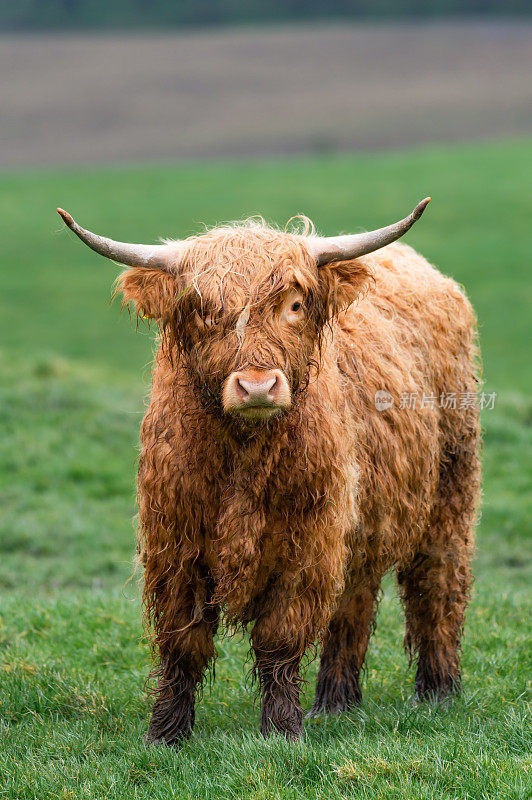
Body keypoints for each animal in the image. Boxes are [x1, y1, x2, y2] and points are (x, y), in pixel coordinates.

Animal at [59, 200, 482, 744]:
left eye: (294, 305)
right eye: (204, 309)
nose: (257, 387)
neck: (244, 454)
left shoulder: (305, 544)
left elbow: (279, 638)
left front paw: (281, 729)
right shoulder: (174, 543)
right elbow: (182, 641)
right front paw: (167, 732)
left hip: (450, 488)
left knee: (438, 582)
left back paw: (437, 691)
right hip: (361, 519)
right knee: (354, 600)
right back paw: (336, 702)